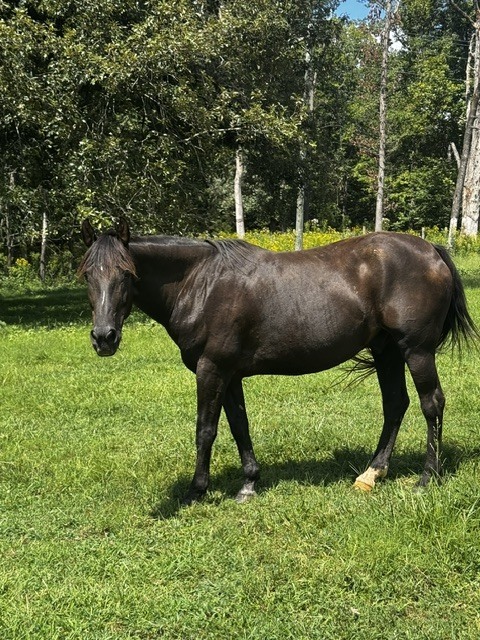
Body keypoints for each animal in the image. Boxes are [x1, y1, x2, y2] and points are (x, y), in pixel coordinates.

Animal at [79, 218, 478, 504]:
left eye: (127, 274)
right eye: (87, 275)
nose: (104, 338)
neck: (201, 283)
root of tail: (431, 250)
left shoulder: (211, 370)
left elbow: (205, 429)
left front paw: (196, 490)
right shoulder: (230, 374)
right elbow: (239, 425)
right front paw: (248, 483)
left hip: (416, 351)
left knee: (431, 404)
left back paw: (427, 478)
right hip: (387, 351)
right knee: (395, 404)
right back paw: (371, 474)